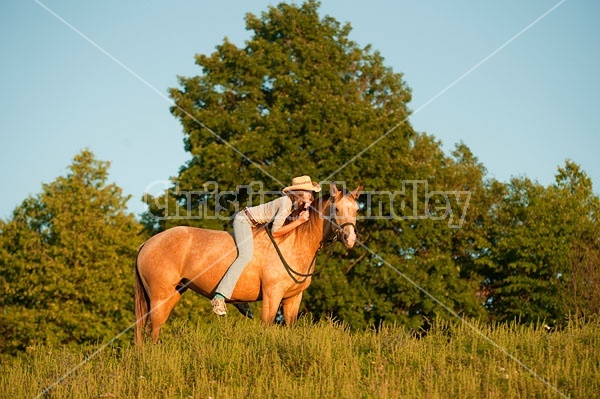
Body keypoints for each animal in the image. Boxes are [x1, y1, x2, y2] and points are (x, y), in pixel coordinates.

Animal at [135, 184, 360, 344]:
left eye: (357, 210)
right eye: (337, 208)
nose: (350, 239)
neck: (294, 242)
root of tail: (147, 243)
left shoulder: (293, 299)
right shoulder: (272, 296)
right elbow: (267, 327)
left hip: (172, 294)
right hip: (160, 298)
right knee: (152, 332)